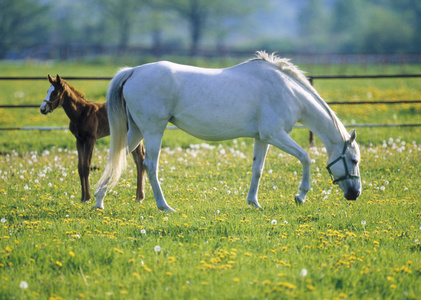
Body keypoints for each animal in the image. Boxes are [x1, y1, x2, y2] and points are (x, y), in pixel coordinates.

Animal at [40, 74, 146, 203]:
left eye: (55, 93)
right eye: (47, 91)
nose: (42, 109)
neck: (81, 113)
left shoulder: (91, 139)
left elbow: (86, 167)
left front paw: (87, 198)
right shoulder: (79, 140)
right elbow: (80, 167)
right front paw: (82, 198)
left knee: (140, 159)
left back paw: (139, 197)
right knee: (138, 160)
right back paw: (139, 197)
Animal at [95, 51, 360, 211]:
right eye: (354, 160)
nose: (355, 194)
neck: (287, 91)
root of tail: (134, 71)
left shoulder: (262, 138)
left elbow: (258, 169)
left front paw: (254, 202)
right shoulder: (276, 135)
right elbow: (306, 157)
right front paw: (300, 195)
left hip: (136, 131)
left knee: (116, 159)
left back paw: (99, 200)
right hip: (153, 130)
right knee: (150, 165)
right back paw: (164, 206)